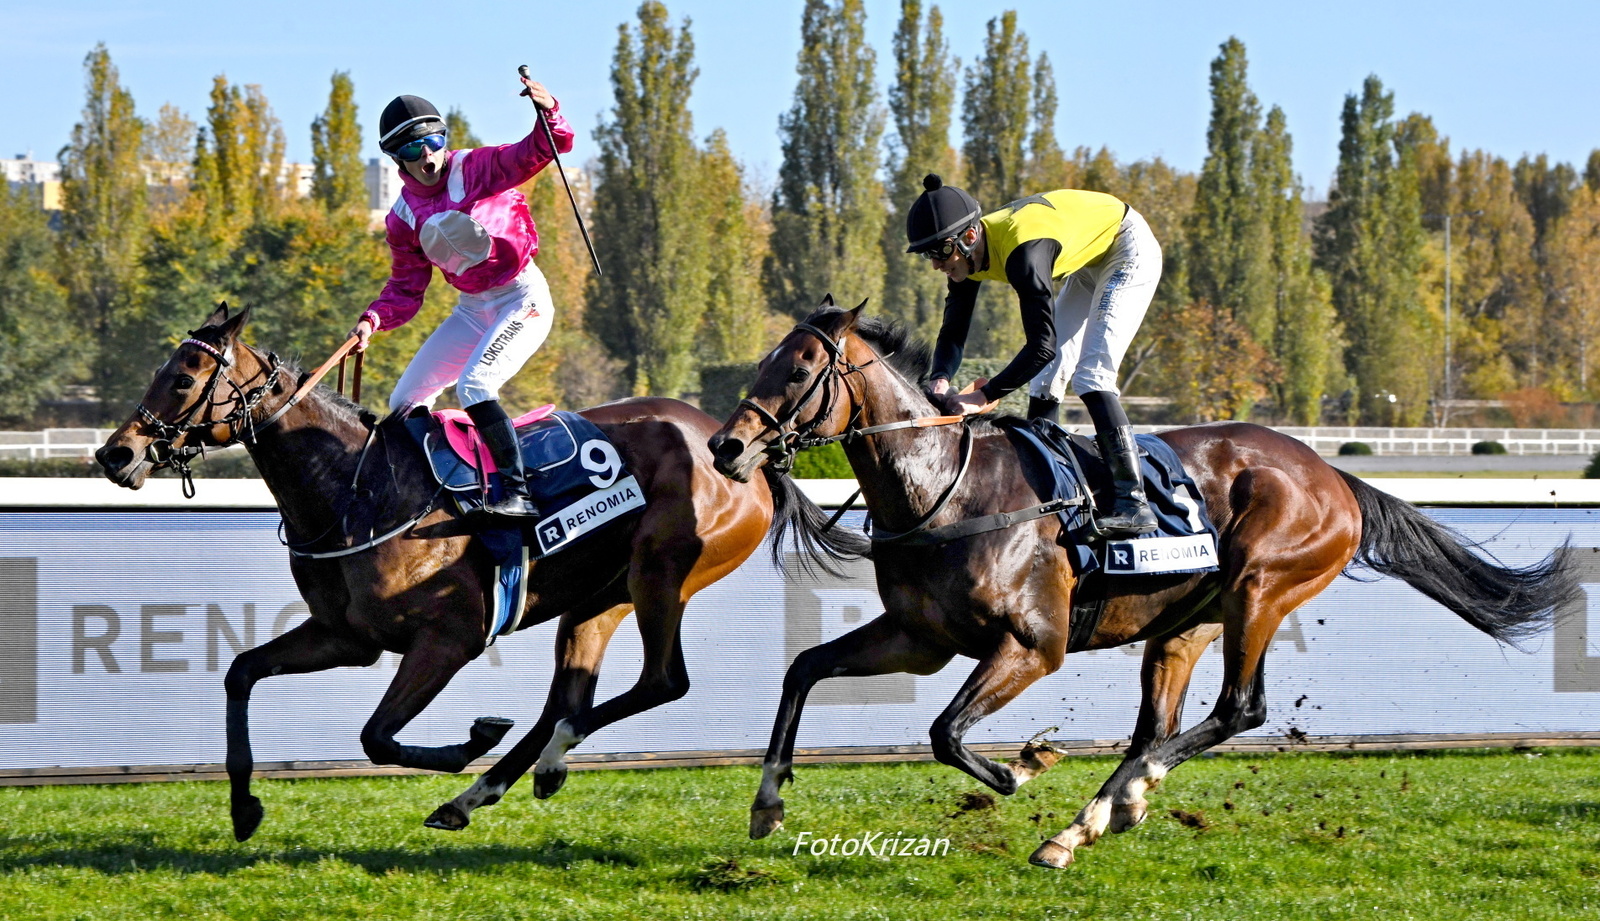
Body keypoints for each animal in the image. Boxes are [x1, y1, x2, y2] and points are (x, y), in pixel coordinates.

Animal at [95, 303, 864, 844]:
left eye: (184, 377)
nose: (114, 453)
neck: (356, 487)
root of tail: (744, 453)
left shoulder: (449, 638)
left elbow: (377, 737)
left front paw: (474, 736)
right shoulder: (346, 635)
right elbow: (241, 673)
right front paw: (244, 805)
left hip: (660, 576)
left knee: (658, 682)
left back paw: (518, 771)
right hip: (598, 596)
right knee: (568, 702)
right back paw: (490, 789)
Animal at [710, 302, 1574, 869]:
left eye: (801, 367)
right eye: (767, 360)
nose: (726, 446)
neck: (948, 492)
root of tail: (1332, 474)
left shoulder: (1035, 645)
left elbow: (946, 731)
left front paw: (1023, 766)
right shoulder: (920, 638)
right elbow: (804, 669)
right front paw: (767, 801)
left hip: (1261, 587)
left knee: (1239, 708)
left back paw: (1088, 818)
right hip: (1185, 623)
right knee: (1160, 726)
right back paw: (1103, 812)